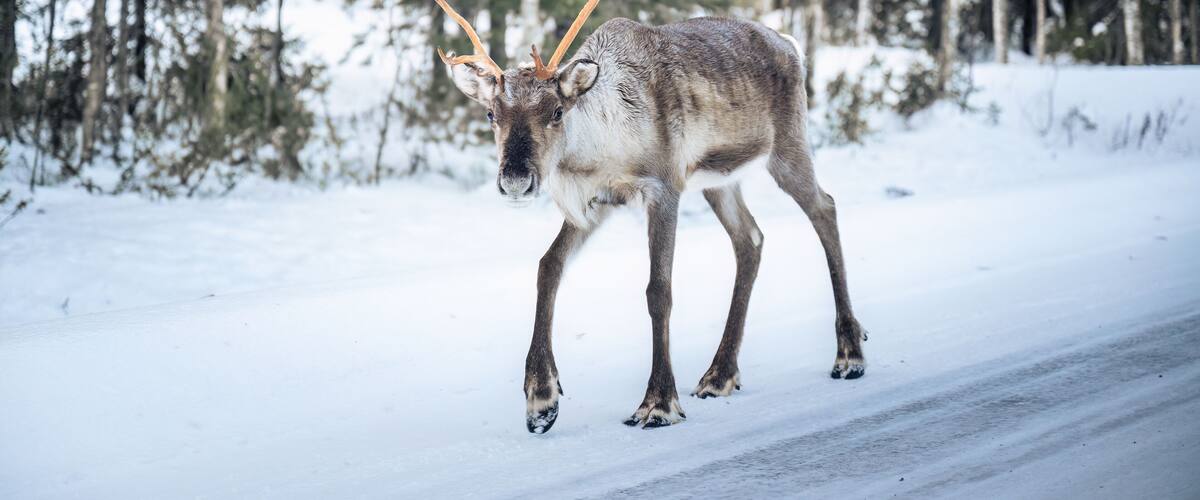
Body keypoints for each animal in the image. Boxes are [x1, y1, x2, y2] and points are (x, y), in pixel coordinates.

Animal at [434, 0, 869, 433]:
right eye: (491, 114)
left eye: (556, 111)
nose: (516, 180)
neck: (597, 153)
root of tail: (791, 45)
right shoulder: (596, 204)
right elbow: (548, 266)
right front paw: (542, 399)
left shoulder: (664, 188)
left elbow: (658, 291)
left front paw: (658, 402)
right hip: (718, 180)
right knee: (750, 239)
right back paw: (720, 374)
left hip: (788, 146)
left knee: (824, 208)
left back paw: (849, 354)